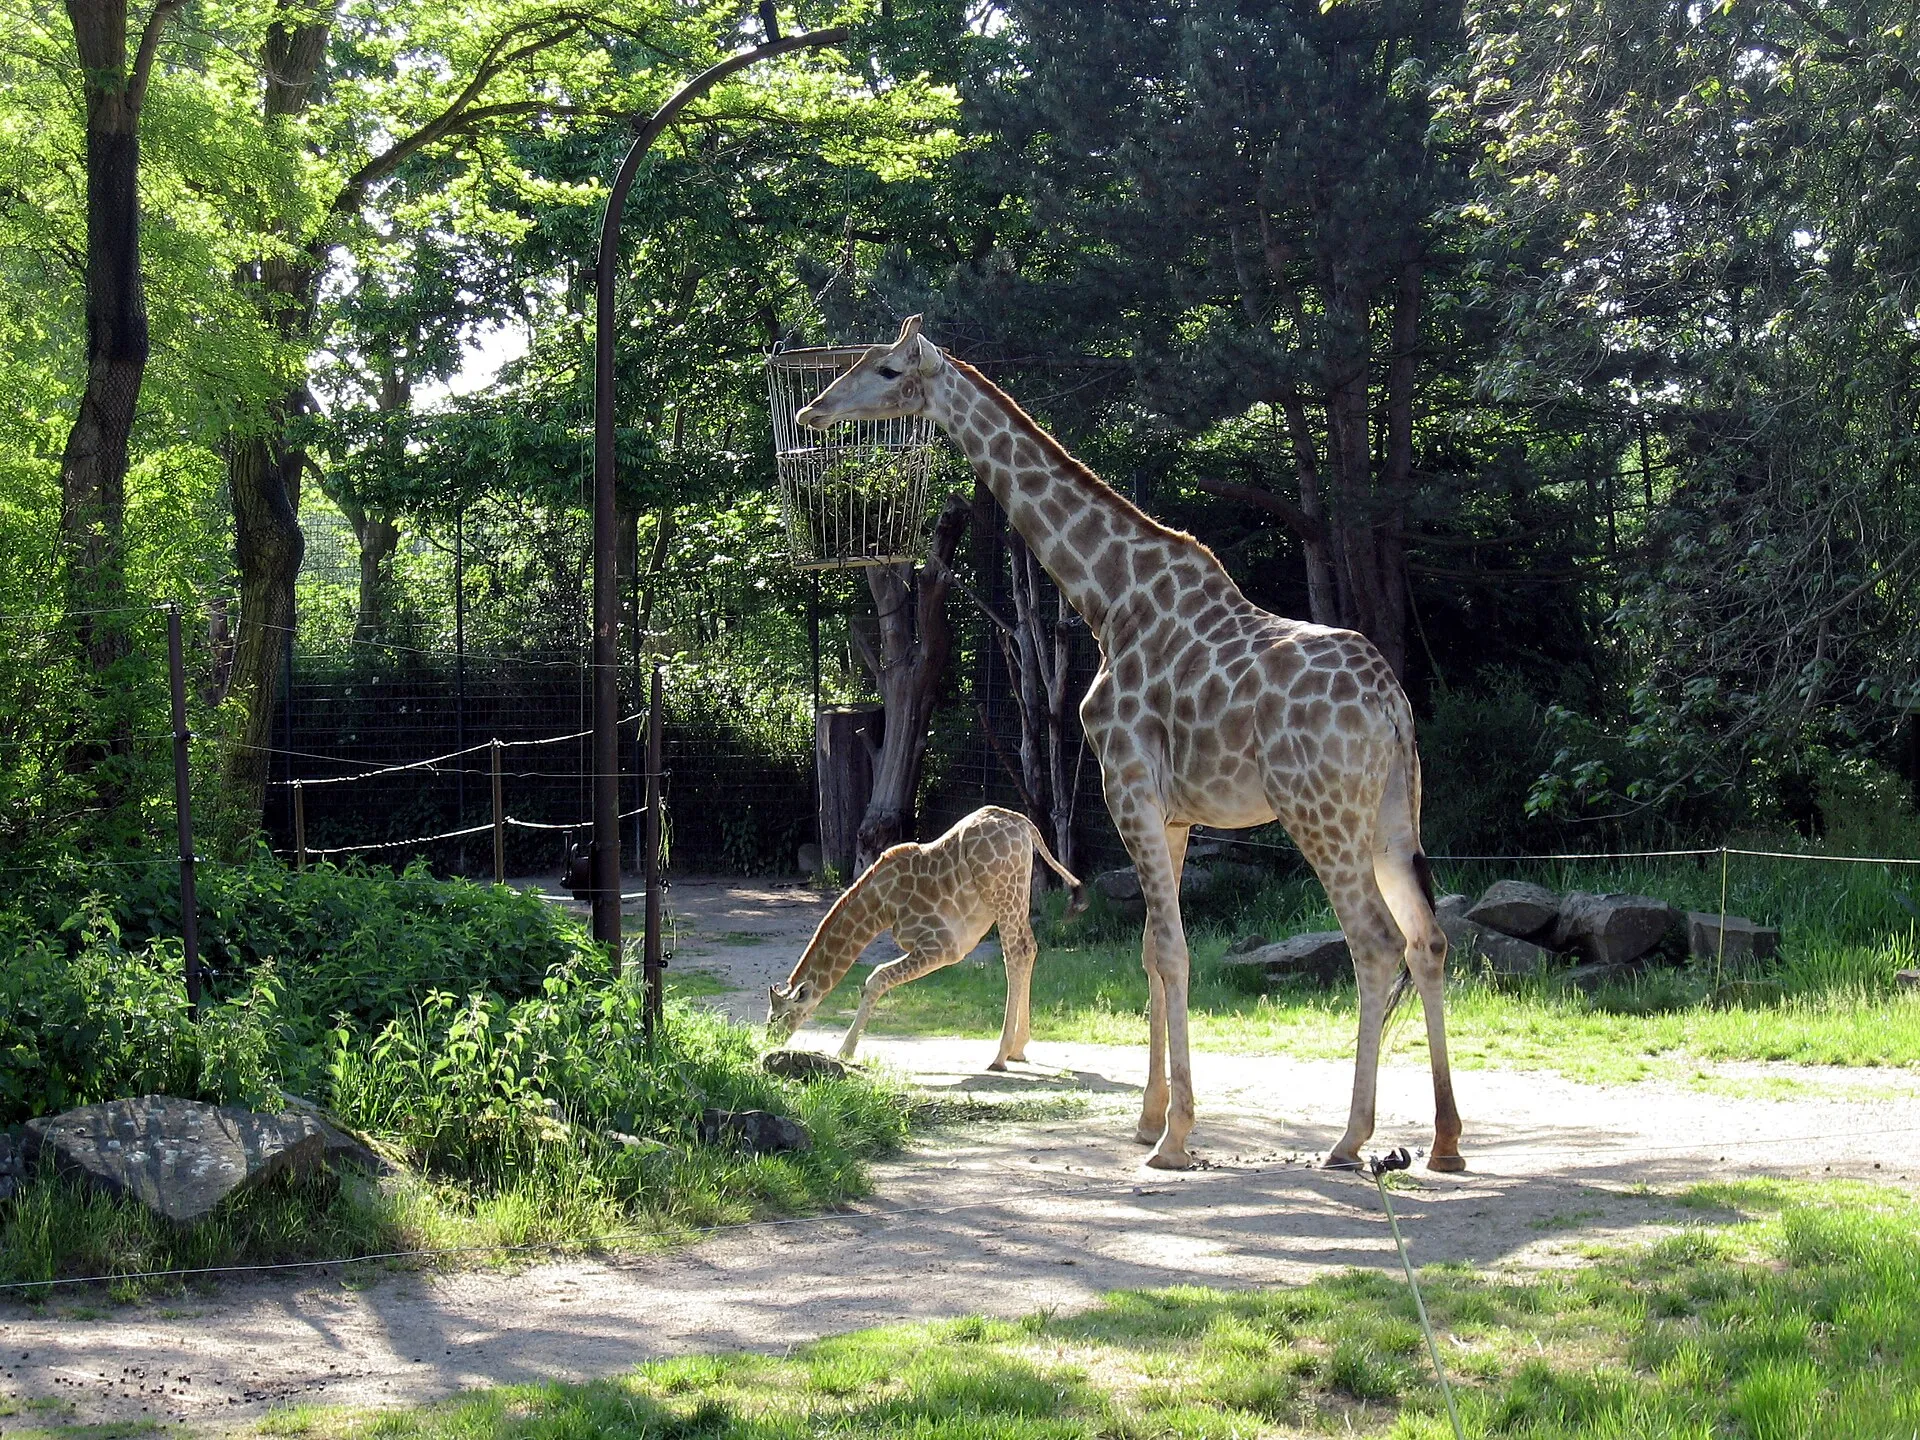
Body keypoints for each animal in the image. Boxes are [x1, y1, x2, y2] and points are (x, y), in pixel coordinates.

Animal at [767, 805, 1085, 1067]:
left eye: (778, 1016)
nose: (769, 1042)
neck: (881, 907)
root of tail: (1024, 825)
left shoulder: (942, 946)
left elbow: (876, 978)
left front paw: (844, 1051)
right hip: (1019, 893)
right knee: (1029, 948)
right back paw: (1018, 1049)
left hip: (1002, 894)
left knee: (1016, 953)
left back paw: (999, 1055)